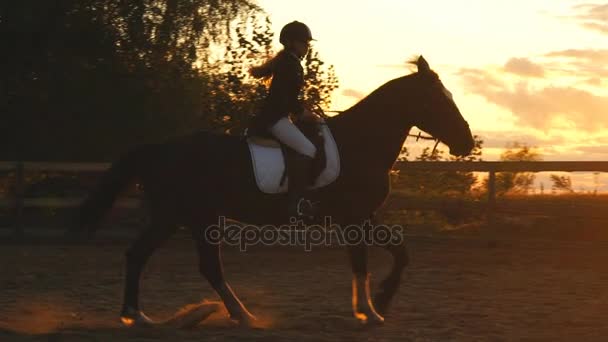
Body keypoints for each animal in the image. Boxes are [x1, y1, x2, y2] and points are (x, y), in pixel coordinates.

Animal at [67, 55, 476, 326]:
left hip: (192, 217)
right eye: (439, 100)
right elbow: (362, 263)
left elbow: (400, 253)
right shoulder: (353, 218)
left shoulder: (364, 216)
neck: (361, 143)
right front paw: (370, 310)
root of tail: (158, 149)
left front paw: (381, 302)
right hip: (181, 215)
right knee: (164, 259)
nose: (467, 142)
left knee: (174, 261)